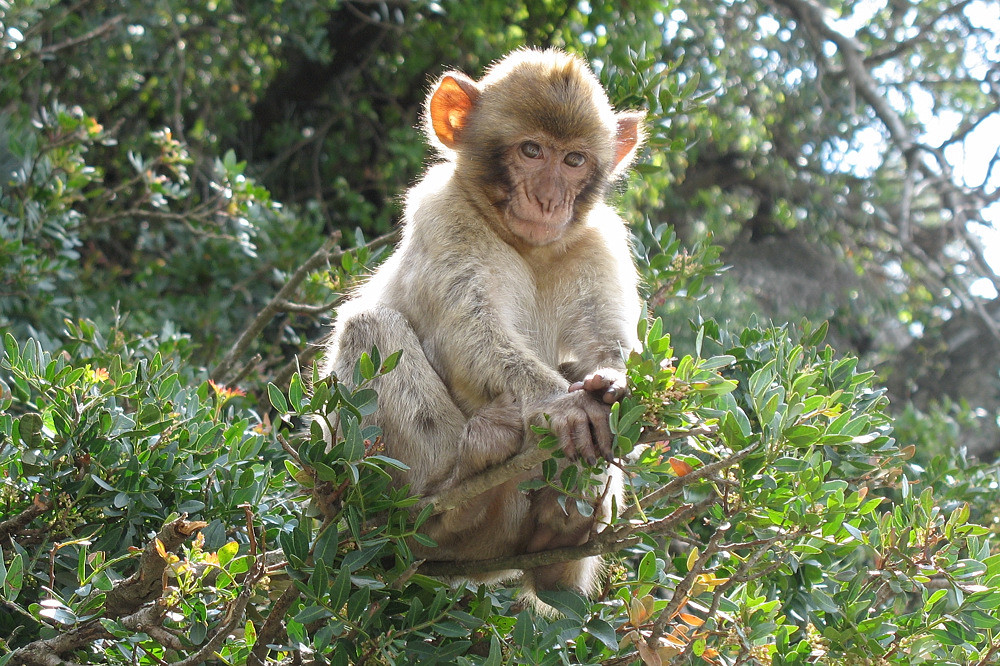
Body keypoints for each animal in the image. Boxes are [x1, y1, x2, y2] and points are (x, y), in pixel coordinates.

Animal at [322, 48, 648, 596]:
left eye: (573, 160)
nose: (549, 200)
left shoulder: (597, 240)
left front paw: (610, 383)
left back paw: (559, 537)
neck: (527, 245)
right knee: (369, 327)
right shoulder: (443, 214)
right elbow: (468, 329)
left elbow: (606, 348)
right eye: (532, 151)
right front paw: (561, 404)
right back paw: (455, 489)